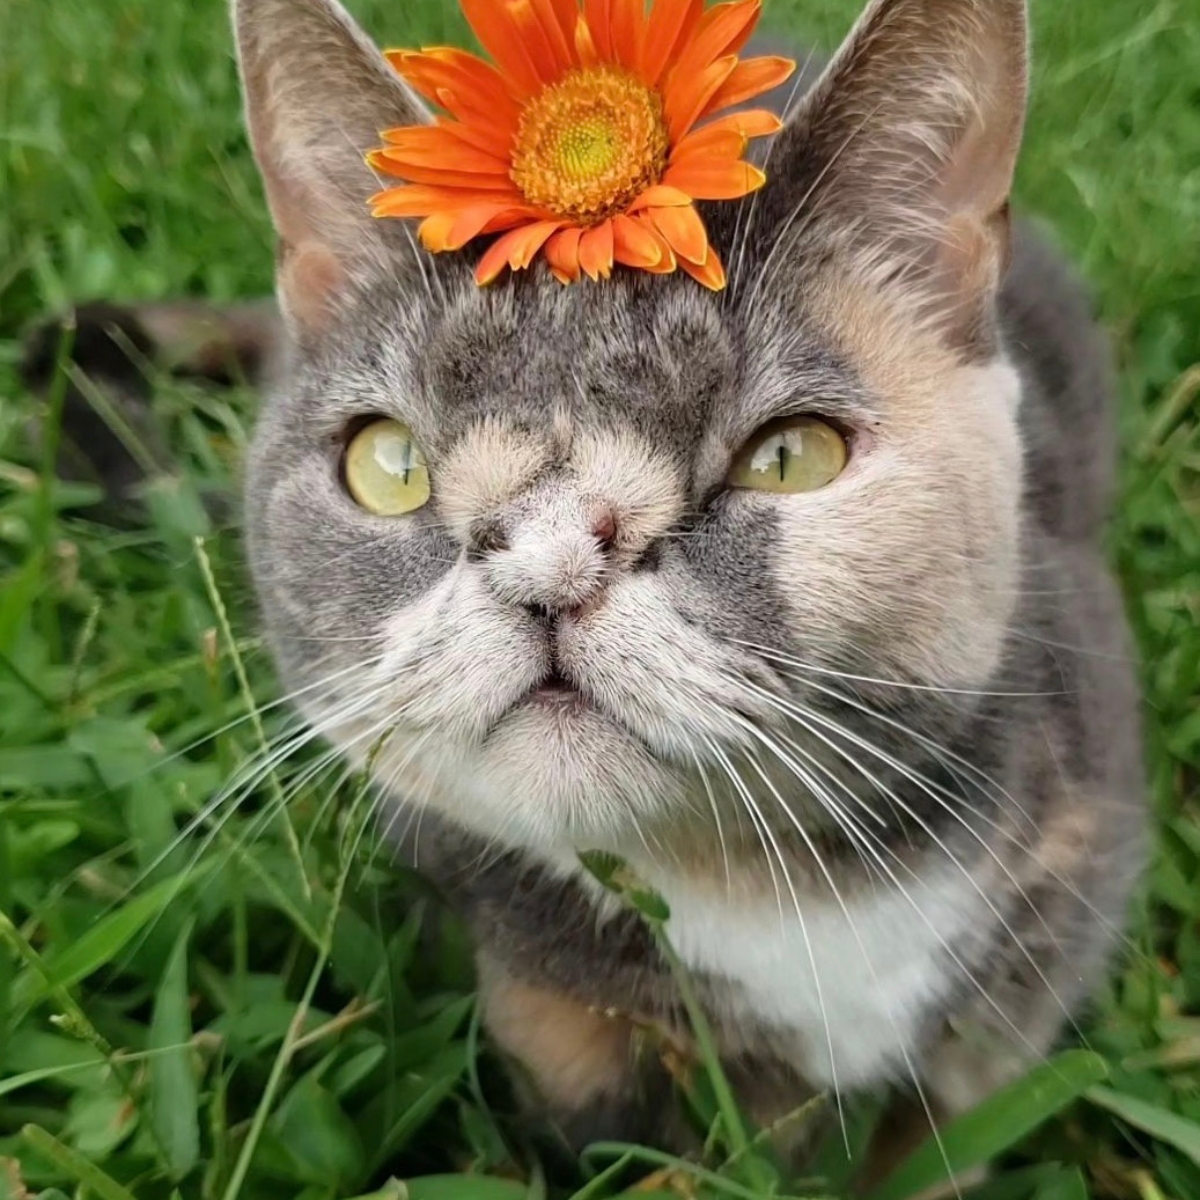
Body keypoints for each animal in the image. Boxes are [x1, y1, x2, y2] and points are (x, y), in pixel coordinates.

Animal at [35, 0, 1142, 1185]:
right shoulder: (542, 1005)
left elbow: (942, 1131)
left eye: (789, 457)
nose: (547, 568)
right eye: (389, 464)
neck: (765, 902)